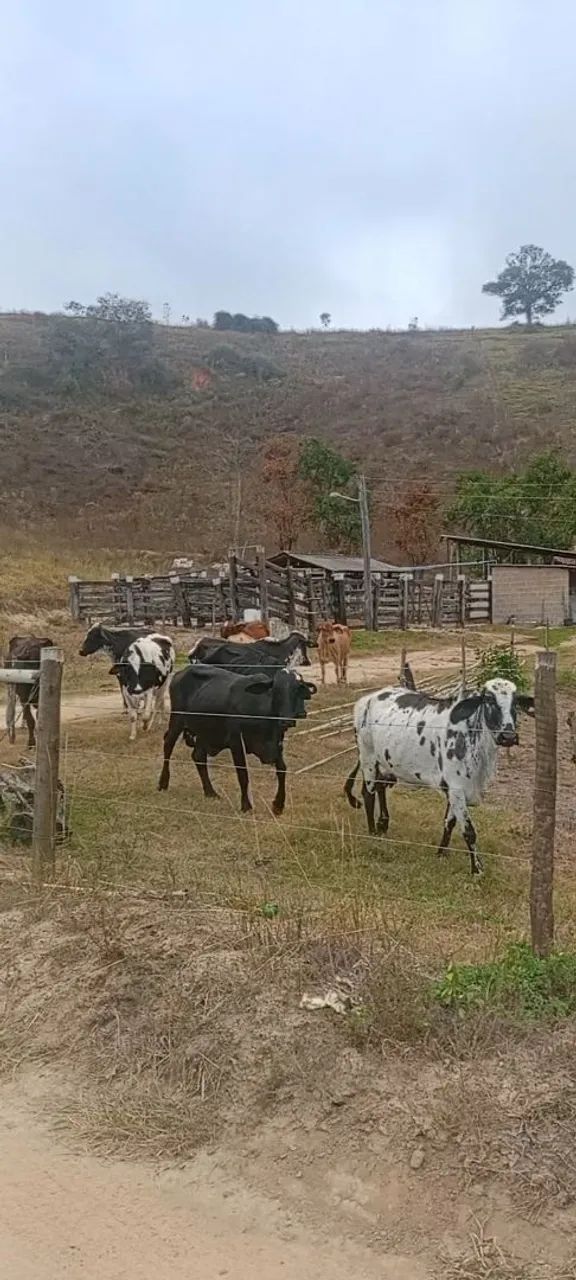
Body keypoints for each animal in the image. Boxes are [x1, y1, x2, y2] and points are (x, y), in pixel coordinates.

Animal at [158, 664, 316, 812]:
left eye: (298, 690)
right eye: (275, 691)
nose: (287, 721)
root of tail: (182, 672)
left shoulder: (276, 744)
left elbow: (282, 769)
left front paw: (278, 805)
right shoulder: (236, 743)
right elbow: (243, 774)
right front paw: (246, 805)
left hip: (205, 732)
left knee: (198, 756)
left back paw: (210, 792)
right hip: (177, 719)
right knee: (168, 745)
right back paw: (163, 783)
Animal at [345, 679, 533, 876]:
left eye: (516, 702)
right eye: (489, 699)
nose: (508, 736)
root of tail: (367, 698)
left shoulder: (456, 789)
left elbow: (449, 822)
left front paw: (441, 853)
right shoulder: (457, 788)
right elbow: (469, 831)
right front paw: (477, 869)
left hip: (385, 764)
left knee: (380, 787)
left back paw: (383, 824)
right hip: (368, 758)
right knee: (368, 794)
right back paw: (373, 833)